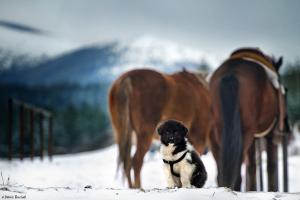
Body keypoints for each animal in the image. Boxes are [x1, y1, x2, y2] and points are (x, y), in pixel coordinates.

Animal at [209, 48, 288, 191]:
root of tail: (231, 73)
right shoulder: (270, 134)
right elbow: (270, 166)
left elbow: (252, 167)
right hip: (246, 131)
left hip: (220, 131)